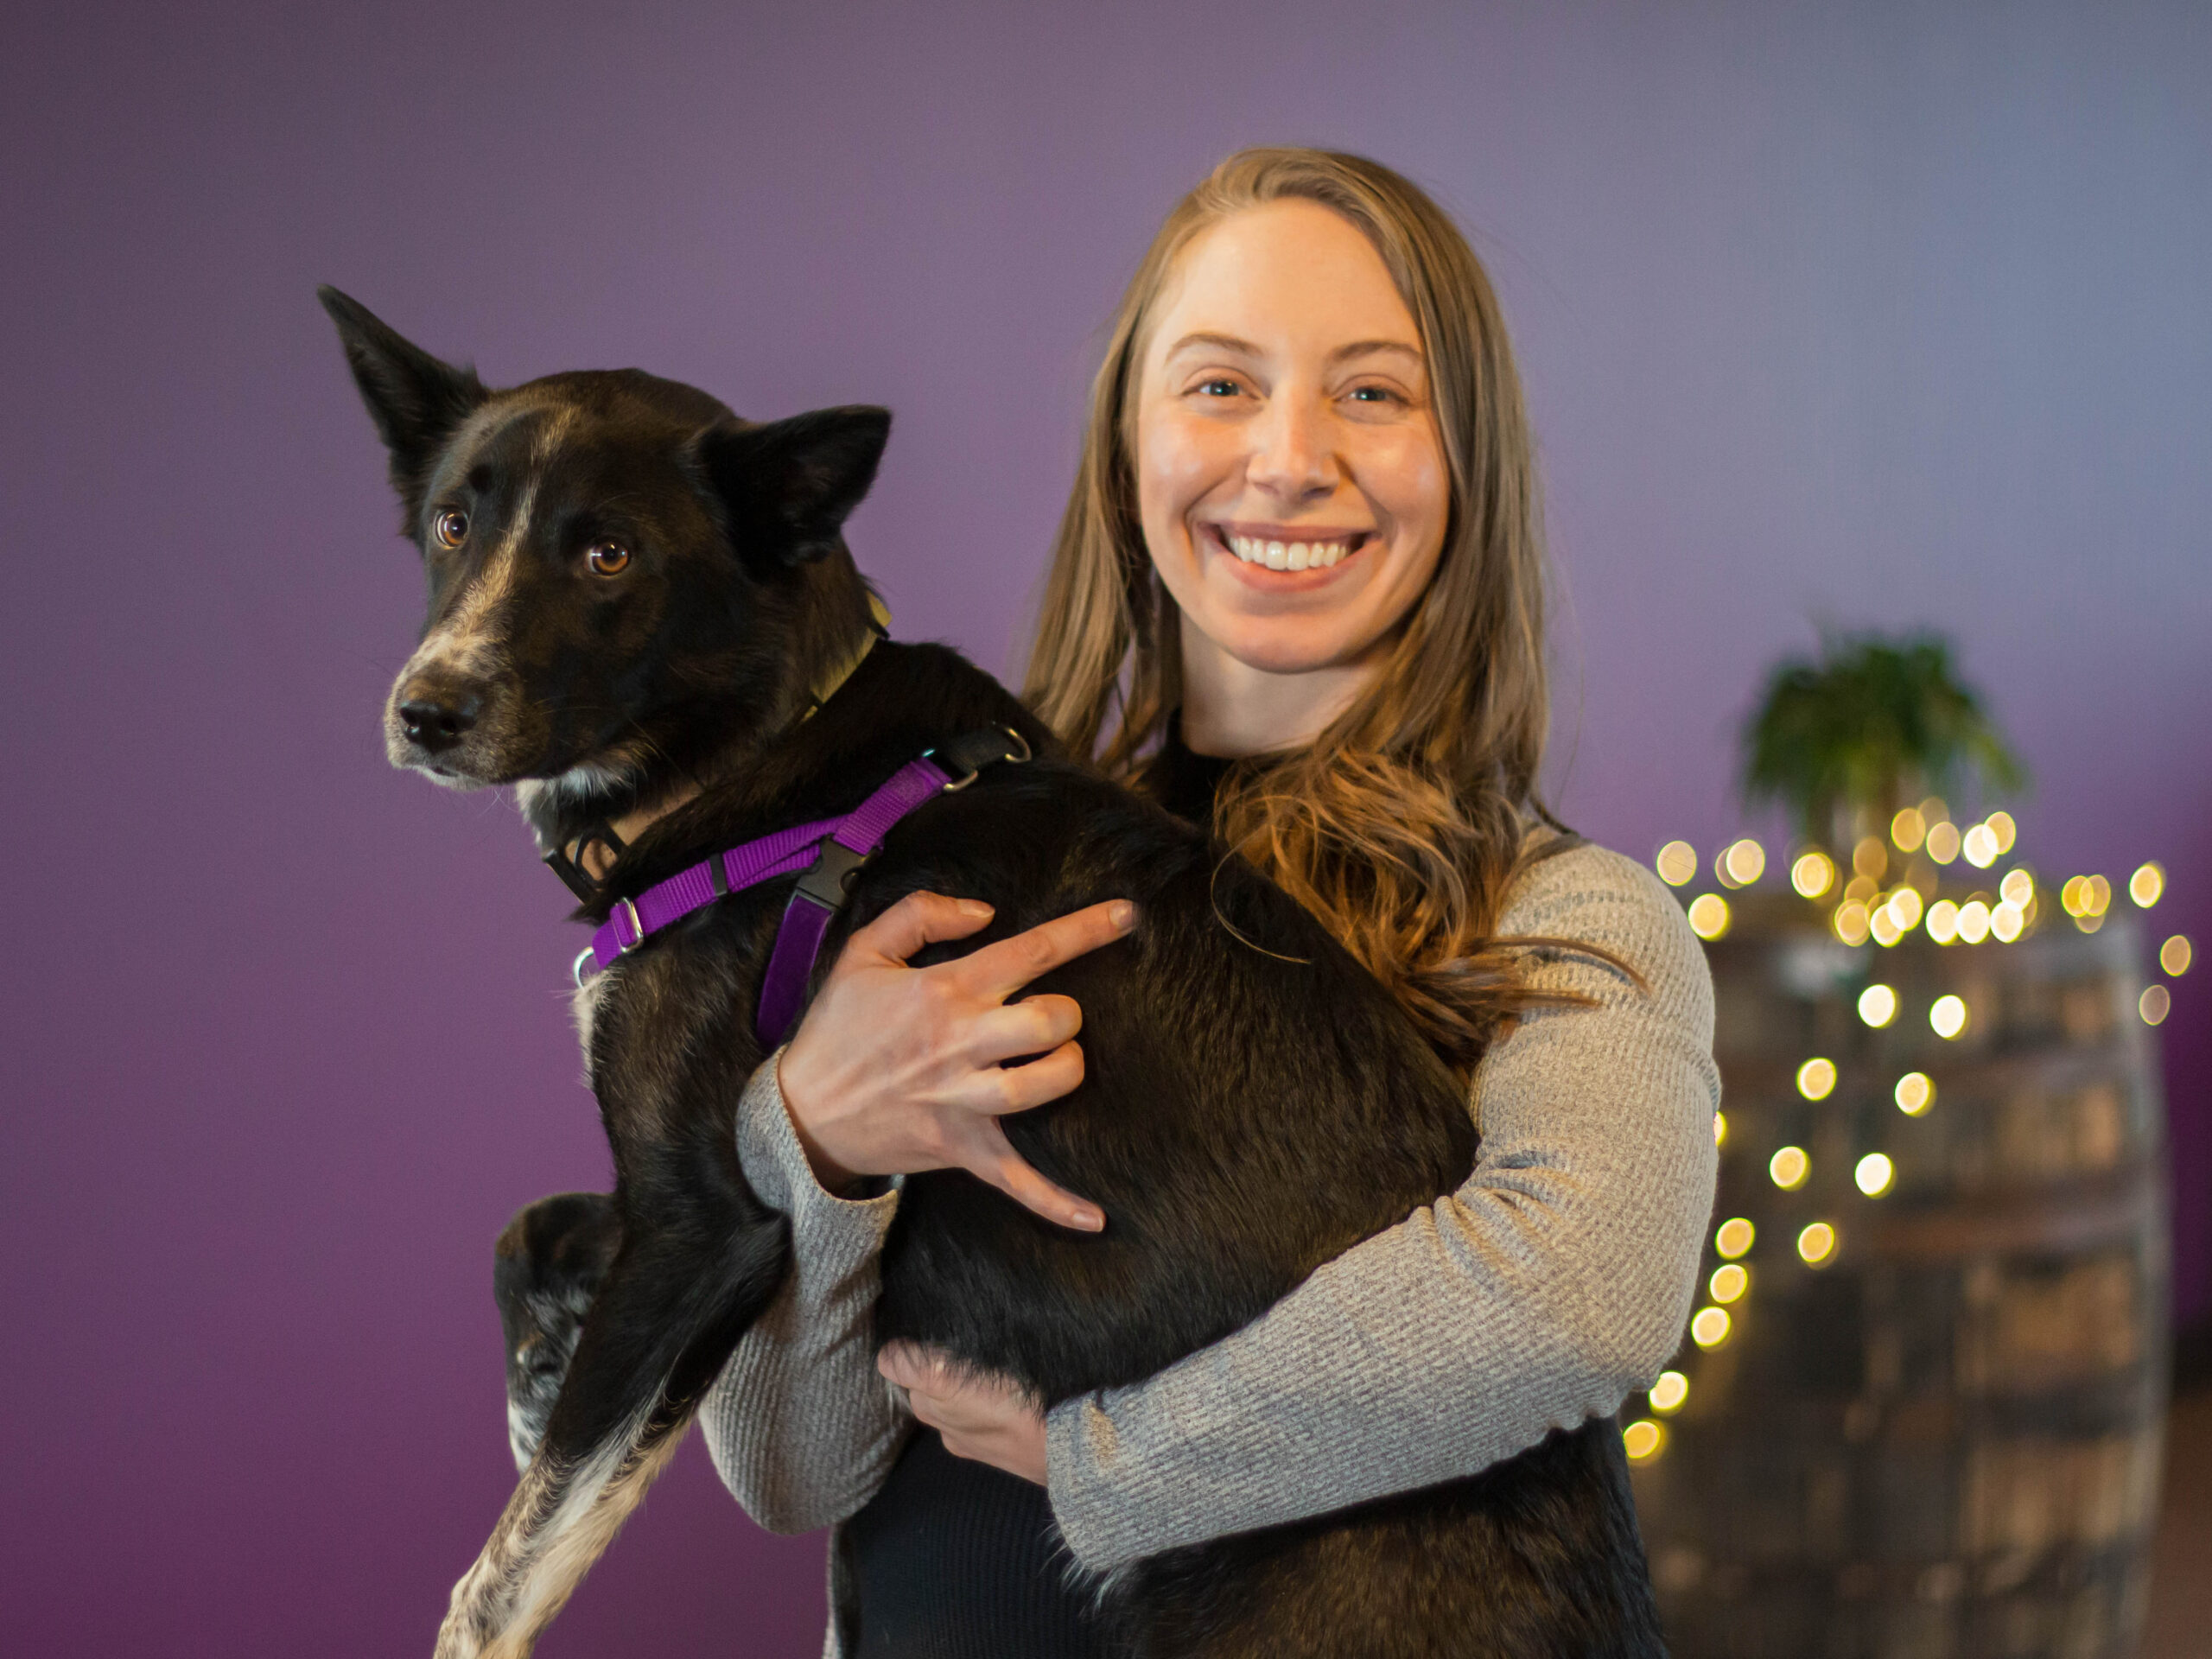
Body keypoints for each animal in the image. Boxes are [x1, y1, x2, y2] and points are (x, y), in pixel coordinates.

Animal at [316, 291, 1663, 1654]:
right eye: (453, 524)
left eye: (608, 556)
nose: (425, 711)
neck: (765, 747)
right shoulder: (700, 1203)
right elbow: (530, 1231)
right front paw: (536, 1374)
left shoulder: (707, 1223)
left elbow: (507, 1569)